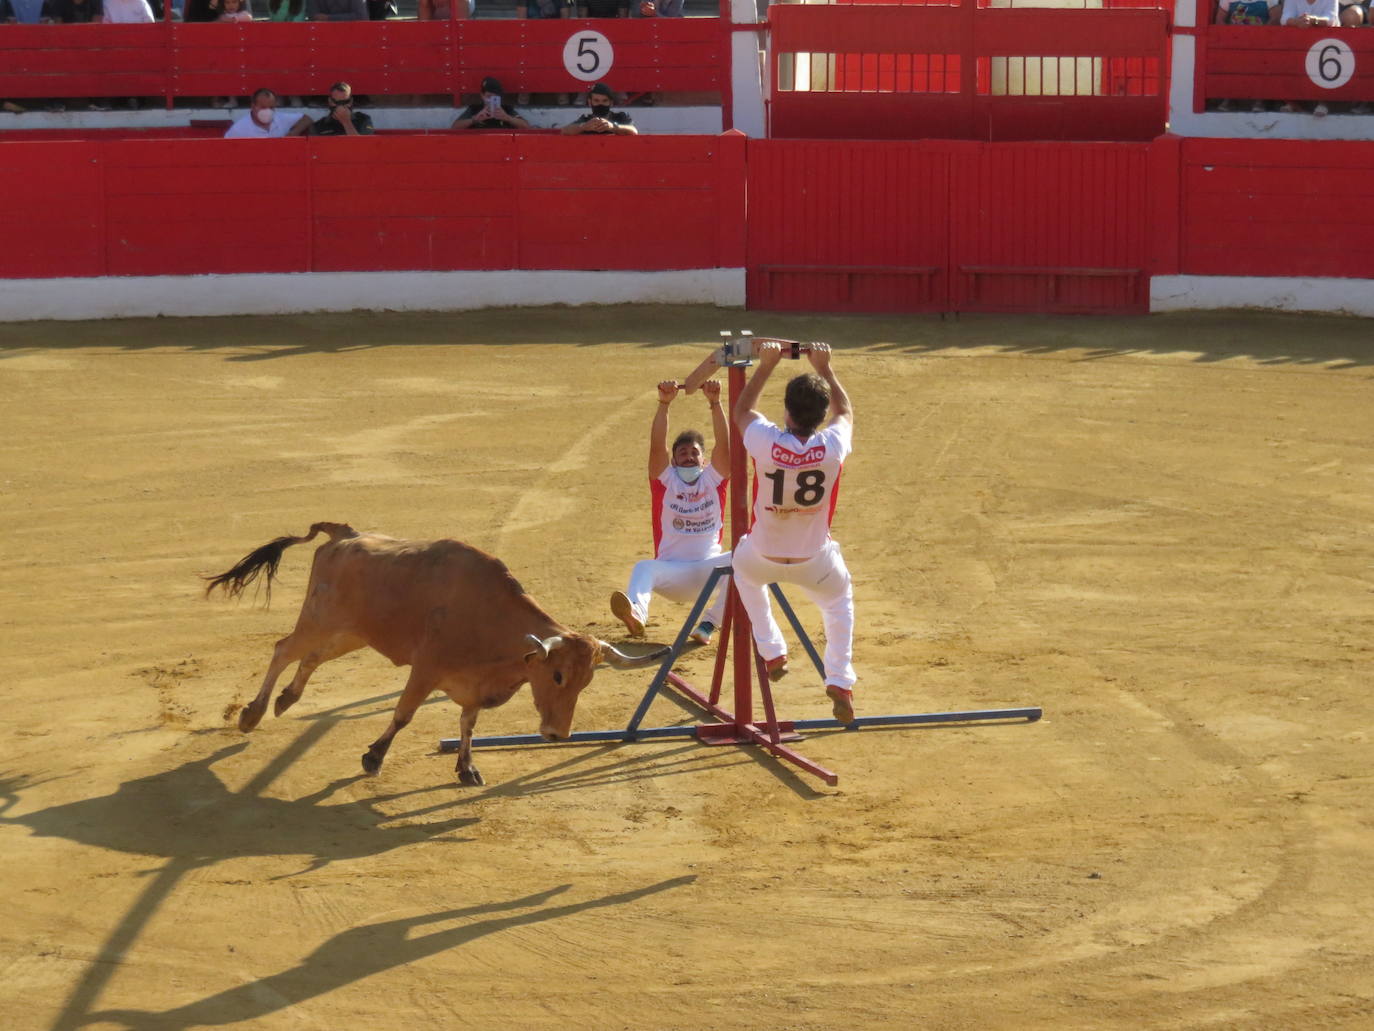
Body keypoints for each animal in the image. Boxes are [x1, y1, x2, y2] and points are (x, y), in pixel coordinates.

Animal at [201, 519, 665, 786]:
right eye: (558, 676)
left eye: (587, 681)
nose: (557, 734)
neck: (489, 619)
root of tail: (345, 535)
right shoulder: (424, 670)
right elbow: (403, 715)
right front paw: (373, 757)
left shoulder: (475, 685)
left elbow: (468, 724)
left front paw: (466, 768)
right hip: (319, 619)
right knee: (284, 650)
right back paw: (252, 713)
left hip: (351, 634)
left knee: (311, 659)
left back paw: (286, 700)